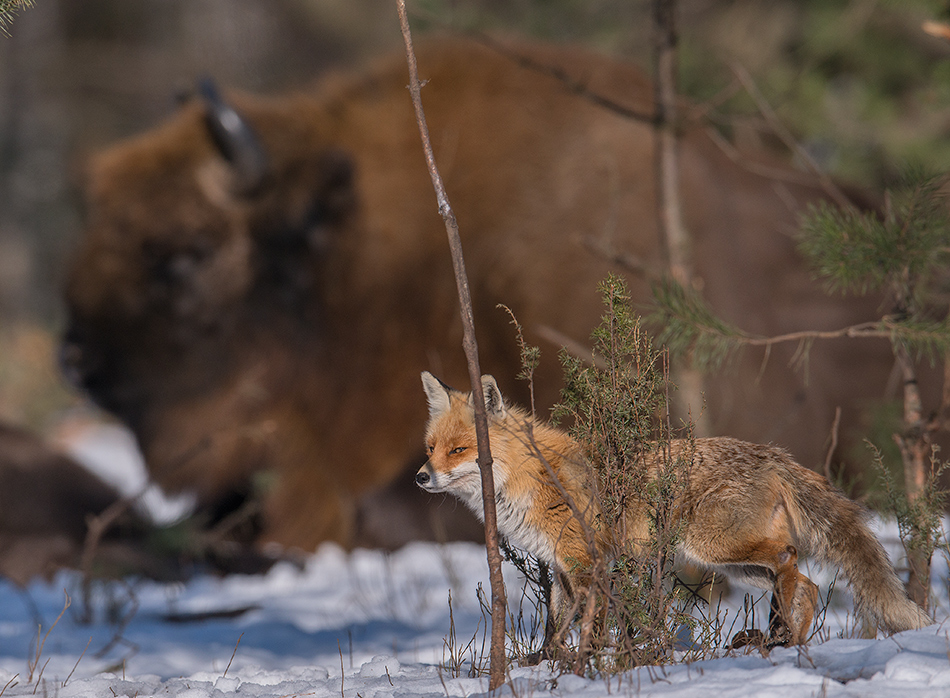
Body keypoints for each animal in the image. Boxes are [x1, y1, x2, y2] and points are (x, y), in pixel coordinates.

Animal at [416, 370, 928, 648]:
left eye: (459, 450)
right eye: (431, 448)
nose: (421, 477)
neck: (531, 476)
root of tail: (774, 455)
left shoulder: (585, 562)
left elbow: (584, 624)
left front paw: (583, 663)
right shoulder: (561, 567)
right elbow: (556, 625)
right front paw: (542, 663)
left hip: (714, 547)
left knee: (790, 560)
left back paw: (783, 634)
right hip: (739, 565)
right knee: (810, 582)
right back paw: (790, 640)